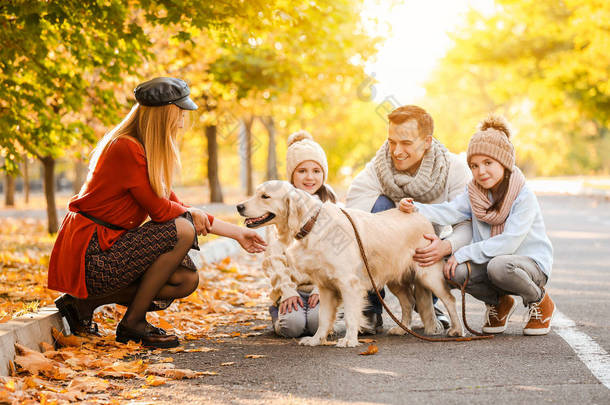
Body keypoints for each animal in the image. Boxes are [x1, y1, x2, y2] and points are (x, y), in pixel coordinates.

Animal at [236, 181, 460, 346]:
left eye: (265, 196)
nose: (239, 206)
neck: (312, 224)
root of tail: (420, 216)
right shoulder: (325, 287)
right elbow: (324, 317)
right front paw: (316, 340)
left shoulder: (348, 284)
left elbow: (351, 315)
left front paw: (349, 340)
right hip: (395, 278)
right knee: (408, 302)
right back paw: (401, 328)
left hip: (428, 273)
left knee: (449, 299)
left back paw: (457, 329)